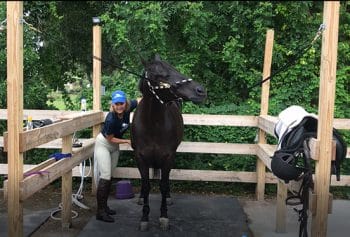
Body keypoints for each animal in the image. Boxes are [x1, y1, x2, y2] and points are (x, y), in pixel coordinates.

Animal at [132, 54, 208, 231]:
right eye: (159, 75)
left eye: (174, 68)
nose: (200, 91)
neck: (152, 123)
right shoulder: (140, 157)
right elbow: (146, 185)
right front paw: (144, 217)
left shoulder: (168, 157)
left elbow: (163, 184)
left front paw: (163, 216)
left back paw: (168, 197)